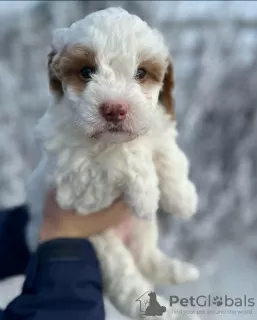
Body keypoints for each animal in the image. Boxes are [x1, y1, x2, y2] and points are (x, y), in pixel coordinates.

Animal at [27, 7, 199, 320]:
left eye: (141, 73)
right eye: (86, 72)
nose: (114, 109)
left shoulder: (157, 125)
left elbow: (168, 152)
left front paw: (183, 199)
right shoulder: (77, 177)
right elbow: (128, 153)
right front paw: (146, 195)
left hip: (142, 232)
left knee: (148, 259)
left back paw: (182, 271)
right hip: (101, 242)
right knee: (128, 284)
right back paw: (171, 311)